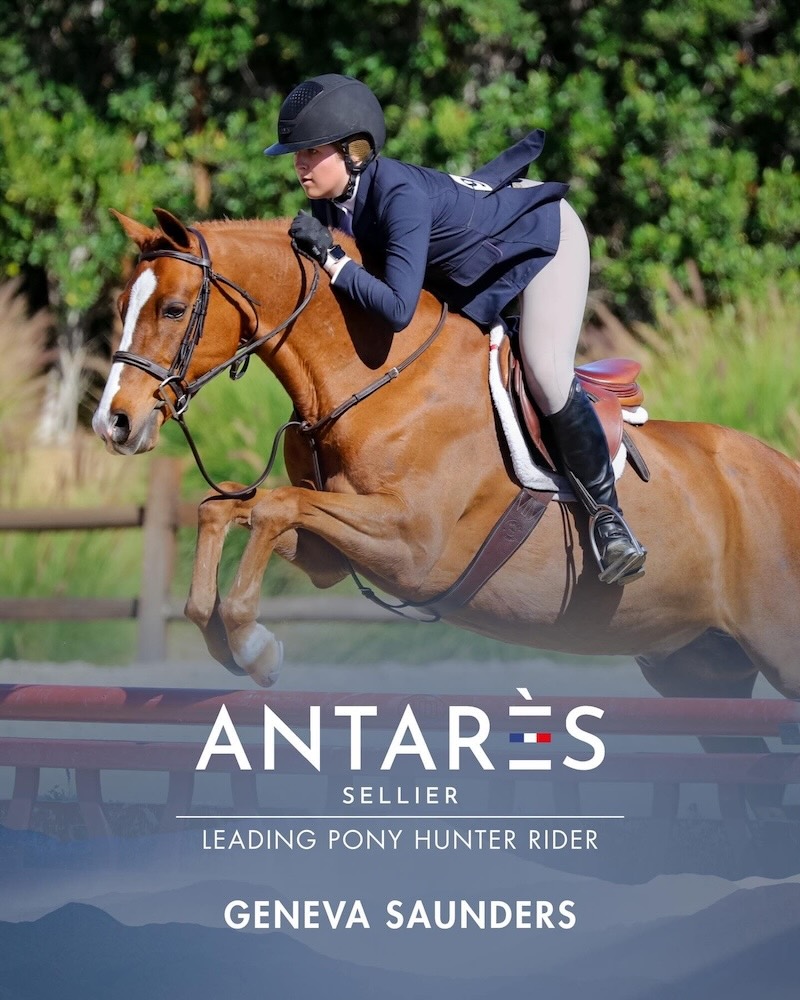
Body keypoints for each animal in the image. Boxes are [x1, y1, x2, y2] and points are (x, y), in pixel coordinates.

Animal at [93, 208, 800, 708]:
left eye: (174, 309)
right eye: (122, 306)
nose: (113, 422)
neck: (372, 377)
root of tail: (785, 469)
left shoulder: (413, 546)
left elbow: (271, 505)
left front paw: (252, 643)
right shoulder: (332, 551)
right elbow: (228, 508)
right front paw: (222, 633)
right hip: (699, 666)